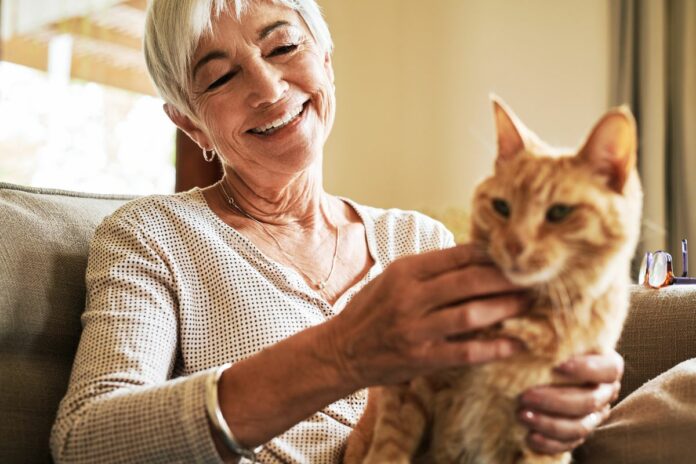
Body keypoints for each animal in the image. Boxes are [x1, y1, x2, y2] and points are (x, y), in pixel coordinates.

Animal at [346, 98, 644, 464]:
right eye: (502, 207)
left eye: (559, 213)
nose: (515, 245)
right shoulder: (407, 391)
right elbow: (388, 451)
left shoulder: (542, 437)